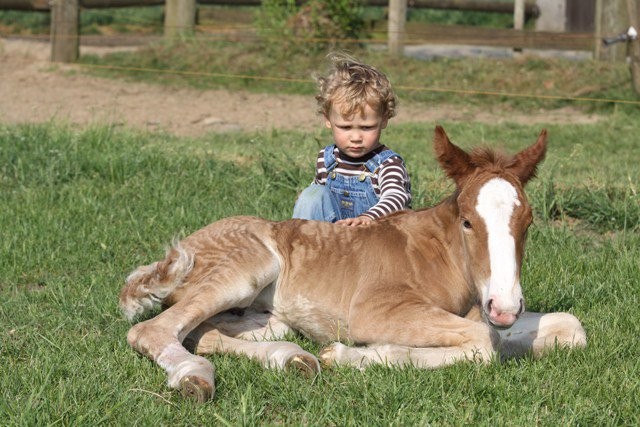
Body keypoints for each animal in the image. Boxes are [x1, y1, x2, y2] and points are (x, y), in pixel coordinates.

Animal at [119, 125, 584, 402]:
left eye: (528, 220)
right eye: (468, 220)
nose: (504, 307)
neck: (441, 256)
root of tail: (181, 247)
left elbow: (571, 328)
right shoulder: (375, 309)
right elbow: (484, 346)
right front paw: (351, 355)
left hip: (261, 317)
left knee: (205, 333)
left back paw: (293, 360)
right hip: (244, 270)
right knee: (153, 330)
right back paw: (194, 378)